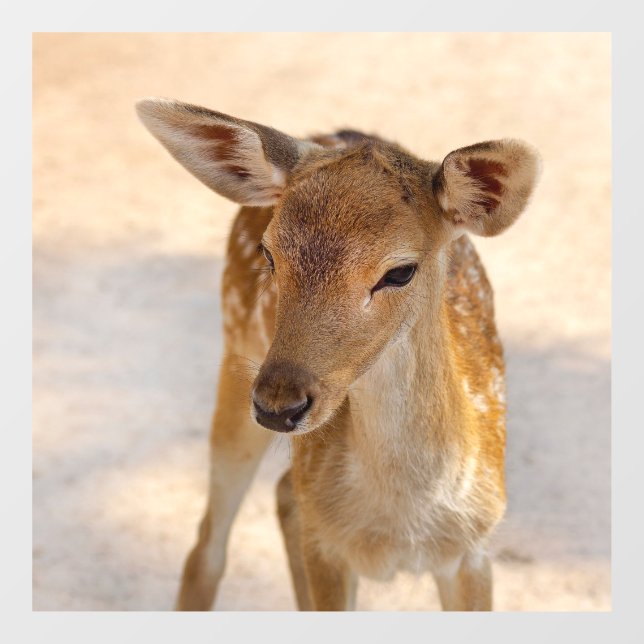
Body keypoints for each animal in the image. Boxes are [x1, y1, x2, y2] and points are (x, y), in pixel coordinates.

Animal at [136, 97, 540, 611]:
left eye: (400, 271)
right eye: (269, 254)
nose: (278, 405)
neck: (400, 525)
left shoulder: (474, 548)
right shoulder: (328, 547)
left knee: (283, 496)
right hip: (235, 355)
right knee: (208, 545)